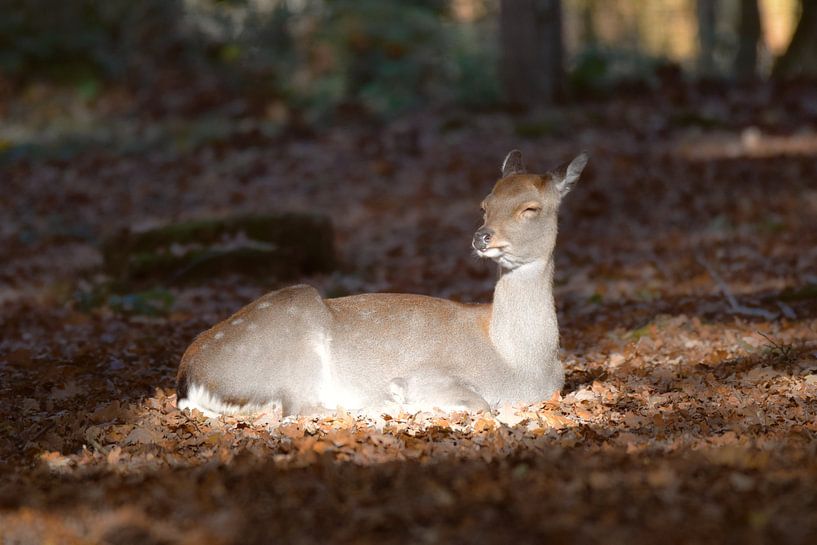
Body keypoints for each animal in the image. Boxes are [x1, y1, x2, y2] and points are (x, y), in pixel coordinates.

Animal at [177, 151, 588, 414]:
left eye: (531, 208)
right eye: (484, 204)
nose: (482, 237)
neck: (521, 365)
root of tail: (188, 376)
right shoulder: (429, 374)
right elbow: (481, 405)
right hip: (293, 348)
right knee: (299, 408)